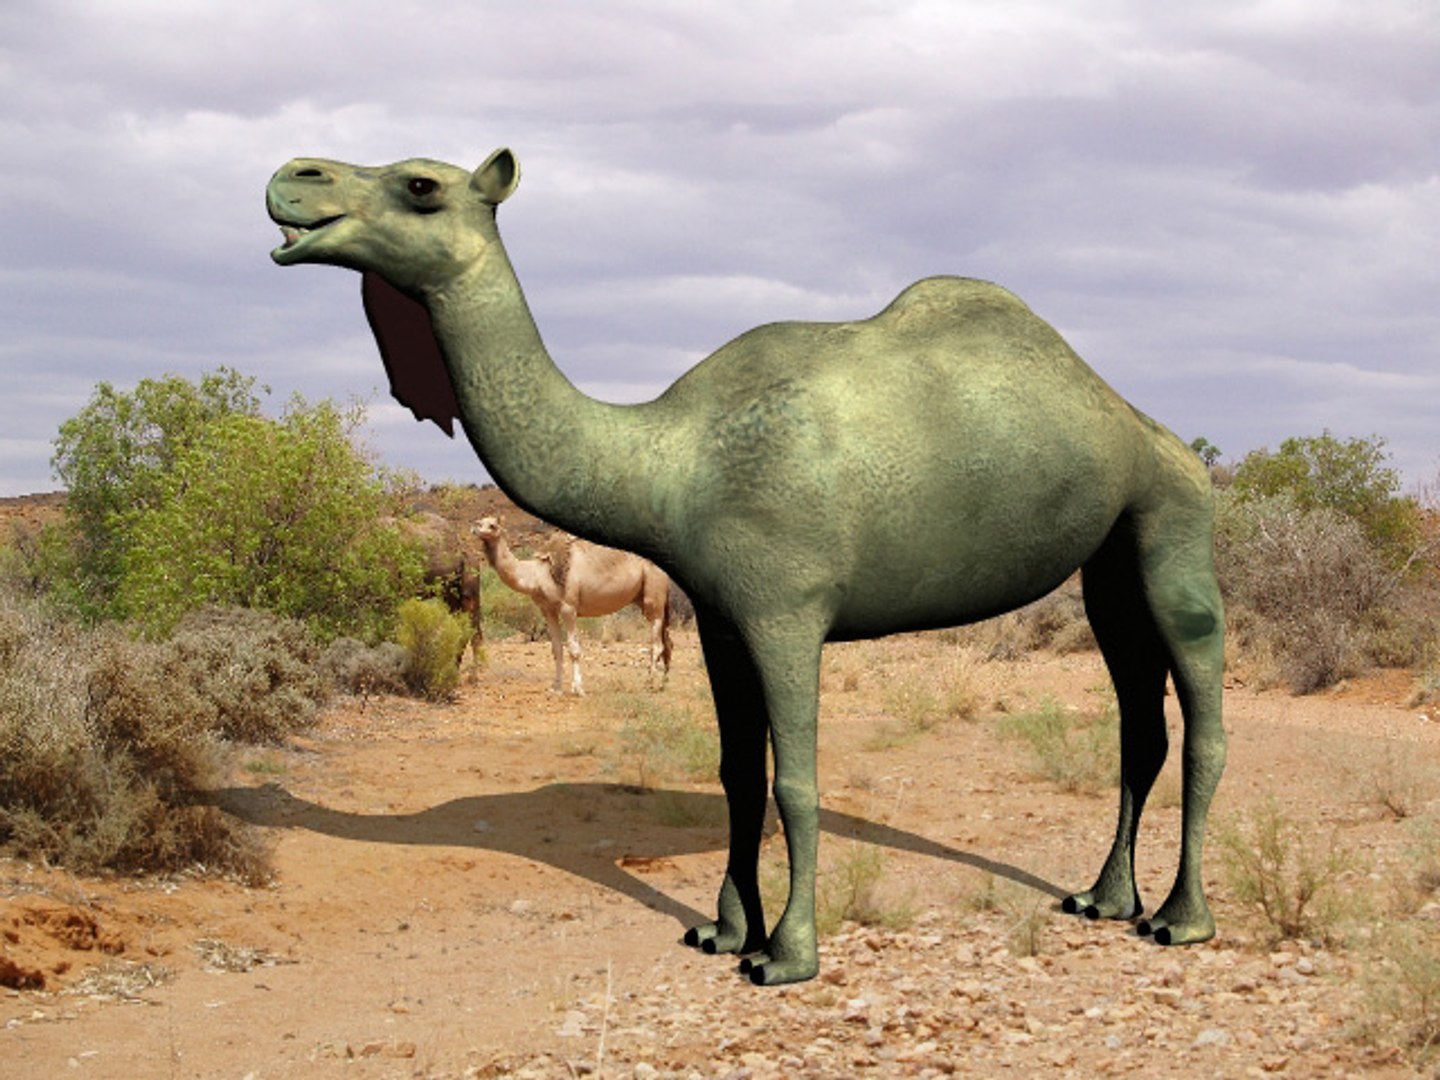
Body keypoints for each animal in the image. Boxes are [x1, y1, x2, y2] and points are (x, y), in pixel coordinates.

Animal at [472, 516, 673, 694]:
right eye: (480, 521)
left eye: (492, 525)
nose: (475, 528)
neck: (538, 574)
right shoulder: (548, 610)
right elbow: (557, 649)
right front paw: (556, 688)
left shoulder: (568, 607)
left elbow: (574, 649)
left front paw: (578, 689)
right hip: (644, 598)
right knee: (666, 642)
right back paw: (663, 684)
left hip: (653, 597)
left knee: (657, 643)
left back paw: (650, 684)